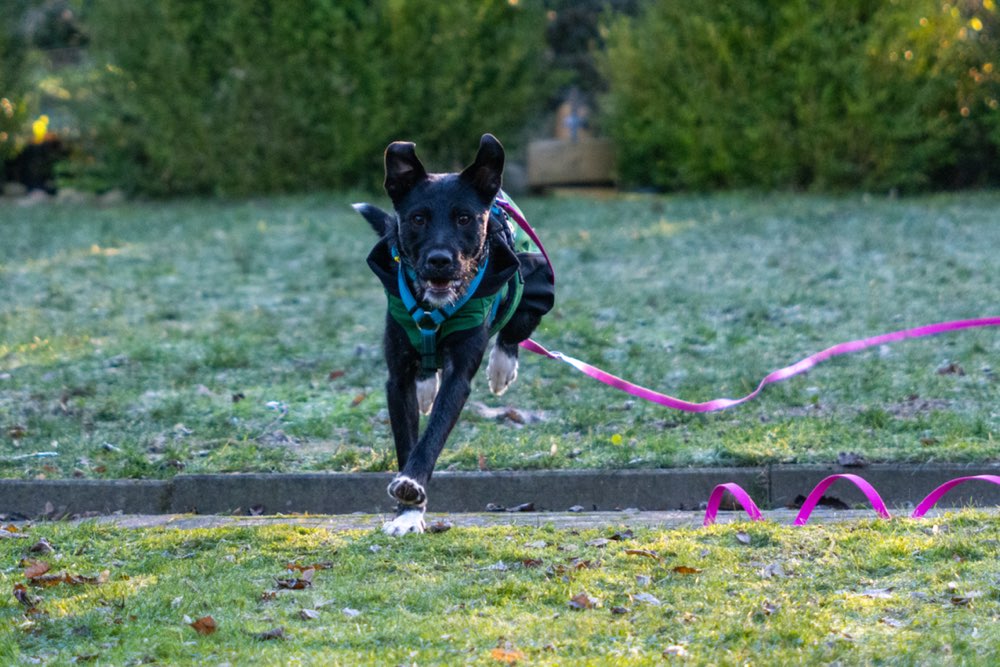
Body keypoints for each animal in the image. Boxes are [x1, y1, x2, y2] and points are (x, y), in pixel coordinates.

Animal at [352, 136, 556, 536]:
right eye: (418, 218)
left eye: (464, 218)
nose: (439, 261)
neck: (433, 308)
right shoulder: (396, 378)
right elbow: (408, 437)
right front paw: (407, 513)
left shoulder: (460, 374)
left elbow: (434, 433)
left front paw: (411, 489)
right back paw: (426, 386)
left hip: (534, 284)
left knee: (515, 325)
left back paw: (501, 367)